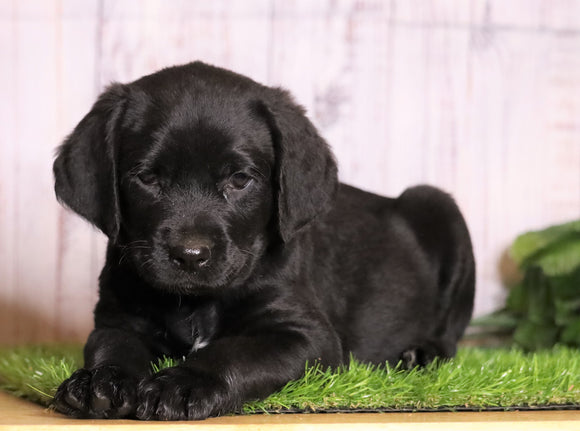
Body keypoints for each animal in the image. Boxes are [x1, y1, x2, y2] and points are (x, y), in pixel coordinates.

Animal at [52, 61, 474, 422]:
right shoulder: (117, 318)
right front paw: (100, 381)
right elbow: (111, 346)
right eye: (147, 178)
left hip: (439, 207)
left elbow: (236, 352)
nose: (190, 255)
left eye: (240, 180)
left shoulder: (307, 335)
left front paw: (183, 383)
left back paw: (421, 354)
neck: (196, 303)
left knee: (451, 333)